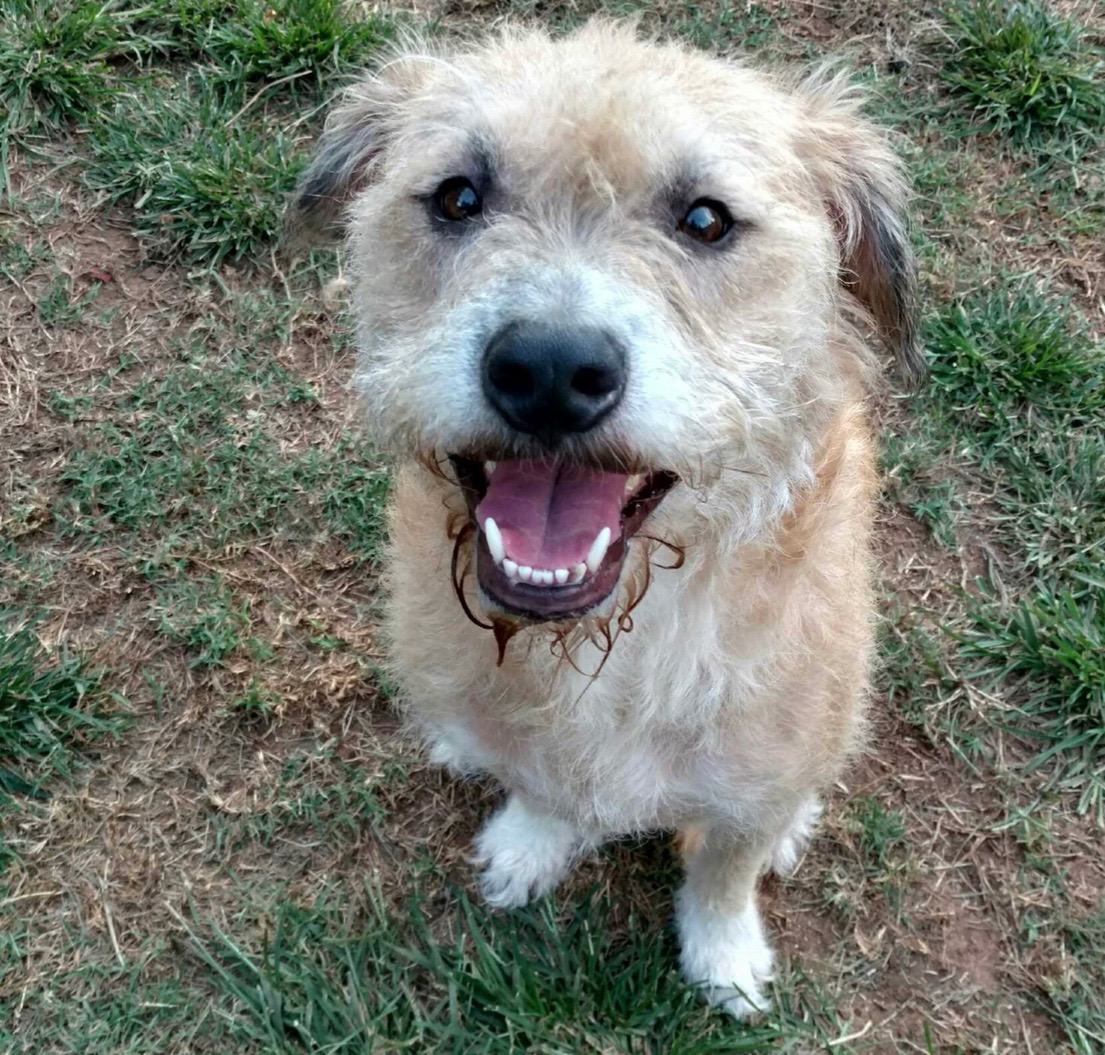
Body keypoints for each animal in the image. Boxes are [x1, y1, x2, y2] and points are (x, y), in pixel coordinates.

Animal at [289, 20, 919, 1020]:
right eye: (458, 196)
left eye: (705, 219)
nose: (549, 370)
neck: (601, 650)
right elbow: (542, 784)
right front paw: (531, 844)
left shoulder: (755, 775)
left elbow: (727, 863)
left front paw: (723, 957)